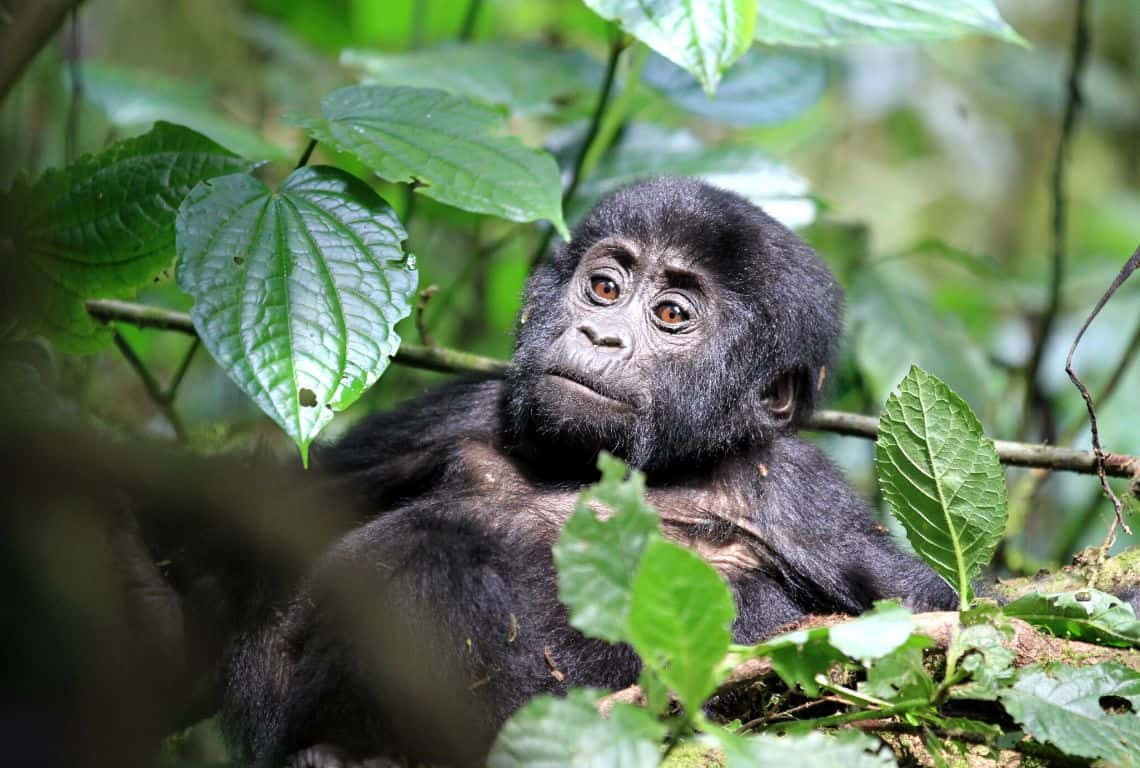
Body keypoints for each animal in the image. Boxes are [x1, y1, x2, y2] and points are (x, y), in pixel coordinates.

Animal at [212, 176, 953, 761]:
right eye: (604, 286)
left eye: (671, 314)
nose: (600, 333)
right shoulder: (464, 411)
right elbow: (278, 507)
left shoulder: (796, 492)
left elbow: (927, 611)